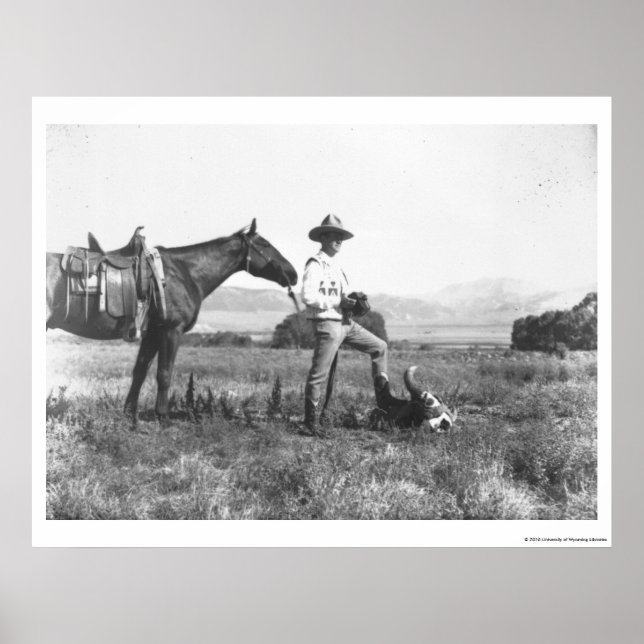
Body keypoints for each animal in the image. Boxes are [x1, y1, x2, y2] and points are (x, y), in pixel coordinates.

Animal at [46, 219, 298, 421]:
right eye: (265, 245)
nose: (293, 274)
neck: (184, 273)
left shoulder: (152, 333)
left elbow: (140, 371)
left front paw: (129, 414)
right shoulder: (170, 331)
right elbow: (164, 373)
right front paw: (162, 416)